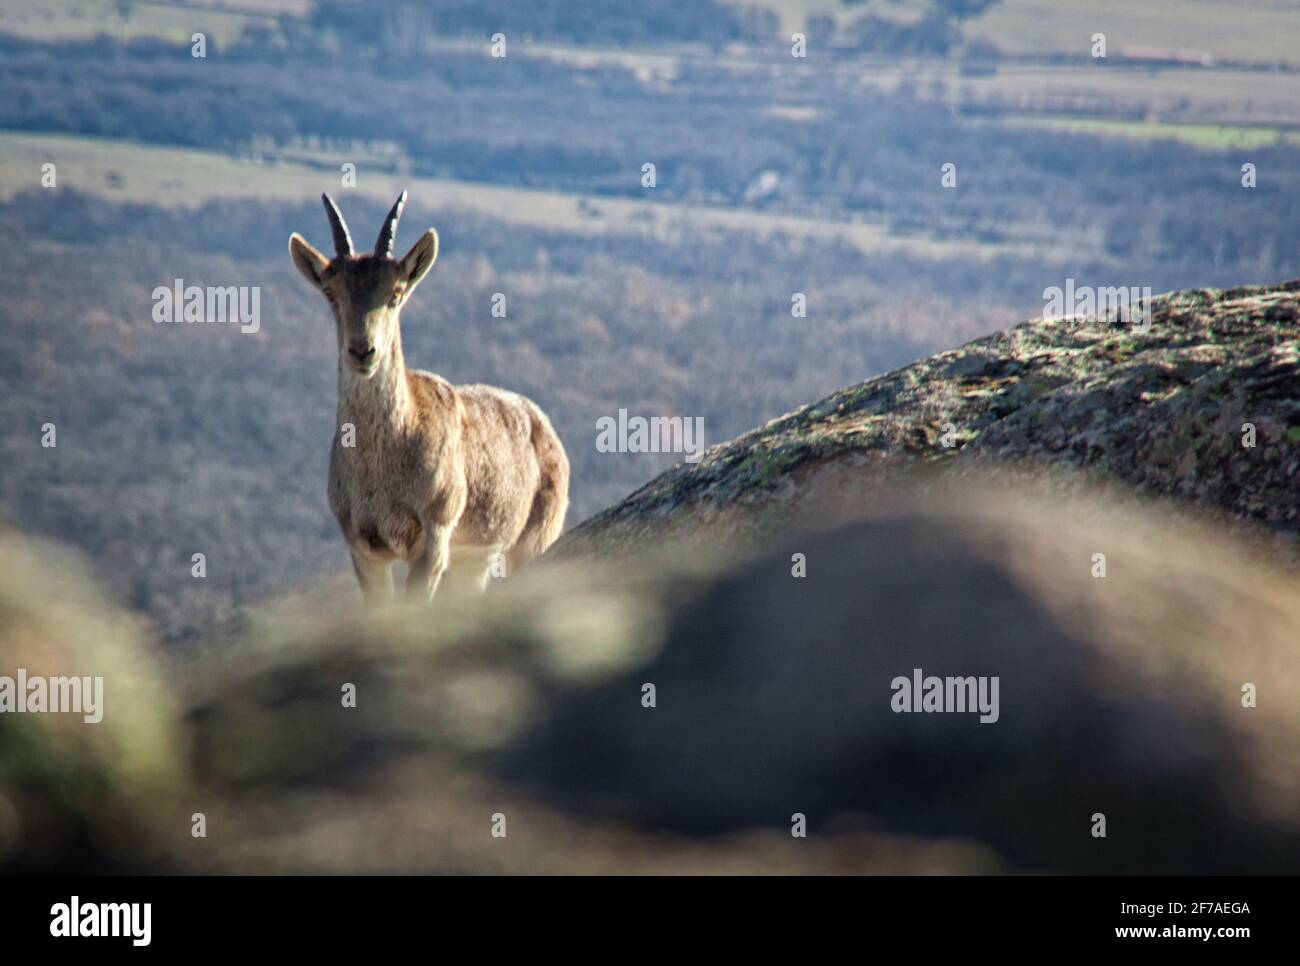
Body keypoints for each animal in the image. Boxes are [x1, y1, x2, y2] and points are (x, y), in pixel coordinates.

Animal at [289, 192, 569, 603]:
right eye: (331, 293)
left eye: (395, 292)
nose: (362, 351)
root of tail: (544, 425)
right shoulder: (363, 547)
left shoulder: (434, 536)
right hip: (473, 564)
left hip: (536, 542)